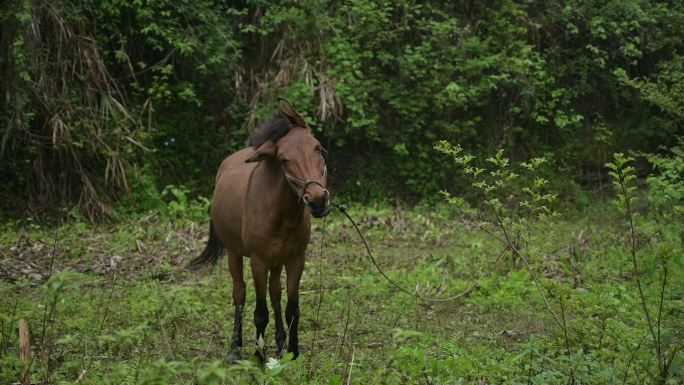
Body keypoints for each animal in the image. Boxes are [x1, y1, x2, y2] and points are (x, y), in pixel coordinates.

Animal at [190, 98, 332, 360]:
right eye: (284, 160)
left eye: (317, 148)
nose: (318, 201)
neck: (281, 214)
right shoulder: (258, 261)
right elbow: (260, 312)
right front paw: (259, 357)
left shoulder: (296, 259)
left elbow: (292, 308)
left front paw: (293, 353)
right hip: (235, 255)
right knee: (239, 293)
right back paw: (236, 348)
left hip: (277, 262)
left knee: (275, 293)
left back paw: (280, 342)